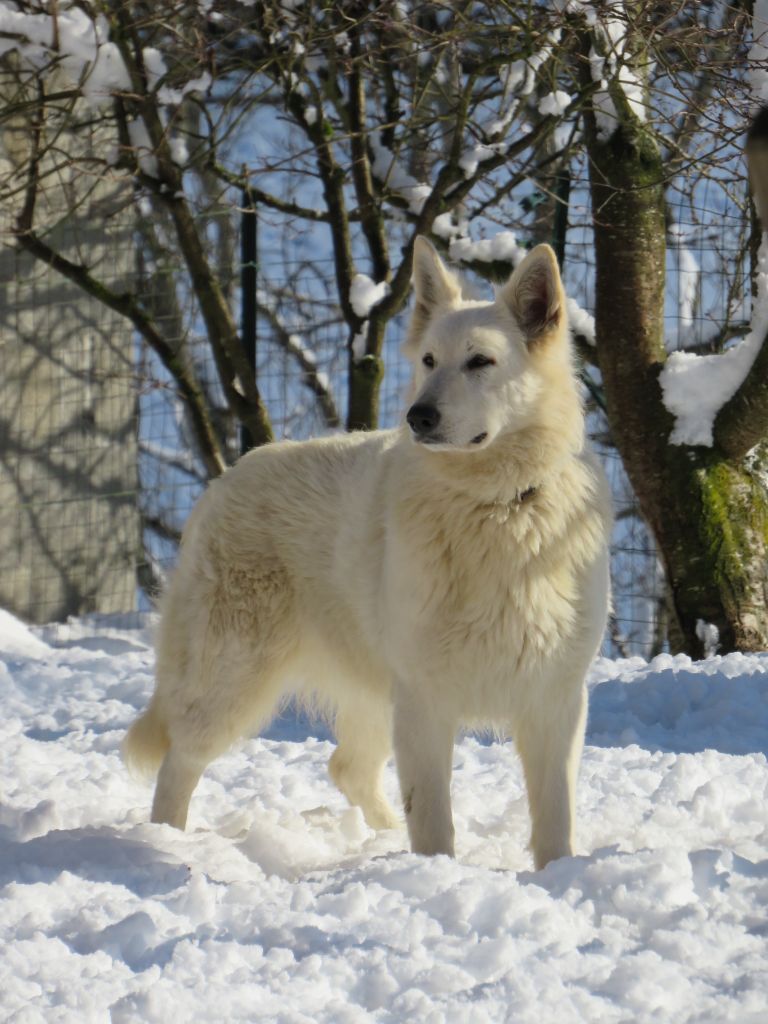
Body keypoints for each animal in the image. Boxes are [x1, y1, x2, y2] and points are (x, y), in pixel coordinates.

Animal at [123, 239, 610, 872]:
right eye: (428, 361)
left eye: (480, 362)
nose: (418, 417)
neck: (498, 507)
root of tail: (226, 477)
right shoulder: (425, 700)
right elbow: (433, 818)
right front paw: (436, 873)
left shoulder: (555, 700)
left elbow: (555, 819)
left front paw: (557, 876)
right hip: (233, 680)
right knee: (179, 762)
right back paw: (165, 844)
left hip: (370, 692)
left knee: (347, 768)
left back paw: (378, 839)